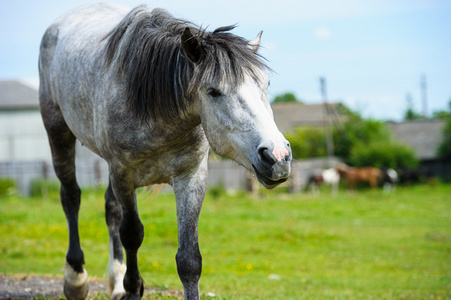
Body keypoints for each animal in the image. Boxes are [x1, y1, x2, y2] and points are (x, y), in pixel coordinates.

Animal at [38, 2, 294, 300]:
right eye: (213, 91)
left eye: (266, 84)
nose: (277, 156)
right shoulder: (124, 174)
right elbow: (132, 234)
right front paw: (133, 288)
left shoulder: (190, 177)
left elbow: (189, 259)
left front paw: (128, 284)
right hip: (57, 131)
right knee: (71, 197)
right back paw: (76, 280)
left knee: (110, 208)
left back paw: (115, 280)